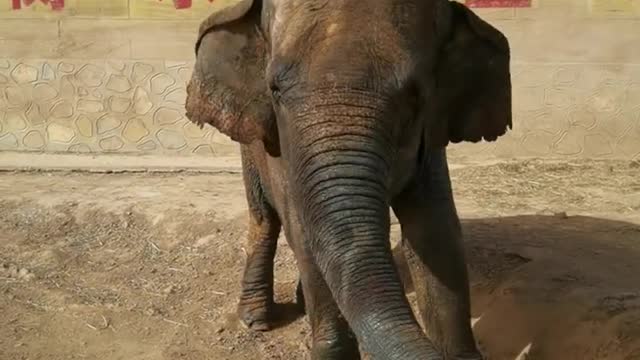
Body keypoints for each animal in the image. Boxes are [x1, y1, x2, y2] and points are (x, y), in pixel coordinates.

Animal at [184, 0, 510, 358]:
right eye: (275, 91)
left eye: (414, 99)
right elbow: (303, 235)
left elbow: (436, 232)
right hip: (250, 144)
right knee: (264, 217)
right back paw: (256, 320)